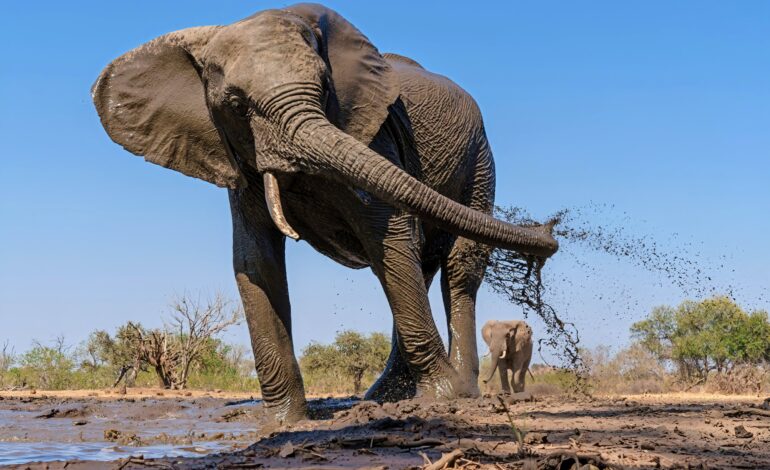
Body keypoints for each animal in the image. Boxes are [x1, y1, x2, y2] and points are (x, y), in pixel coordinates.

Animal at [93, 2, 556, 422]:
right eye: (237, 105)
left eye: (323, 88)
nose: (552, 233)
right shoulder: (235, 159)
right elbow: (256, 261)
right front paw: (283, 423)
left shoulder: (376, 136)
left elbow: (387, 234)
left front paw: (443, 398)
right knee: (418, 266)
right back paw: (383, 397)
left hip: (480, 162)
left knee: (457, 268)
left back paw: (457, 390)